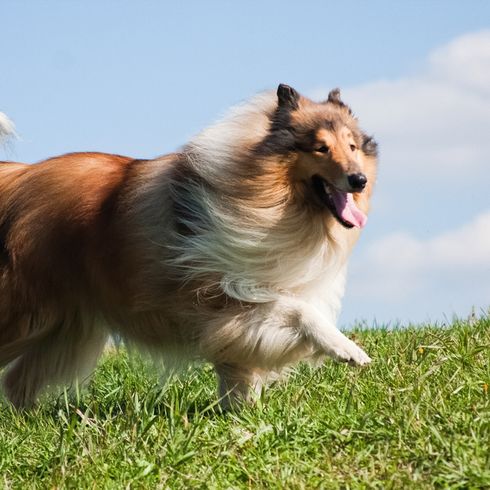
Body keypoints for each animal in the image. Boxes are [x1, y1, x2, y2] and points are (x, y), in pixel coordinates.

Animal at [0, 85, 378, 410]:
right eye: (320, 147)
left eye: (352, 146)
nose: (359, 180)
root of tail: (17, 175)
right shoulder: (220, 296)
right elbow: (298, 311)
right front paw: (348, 349)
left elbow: (240, 366)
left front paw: (241, 410)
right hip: (28, 315)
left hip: (67, 327)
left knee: (17, 380)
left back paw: (29, 417)